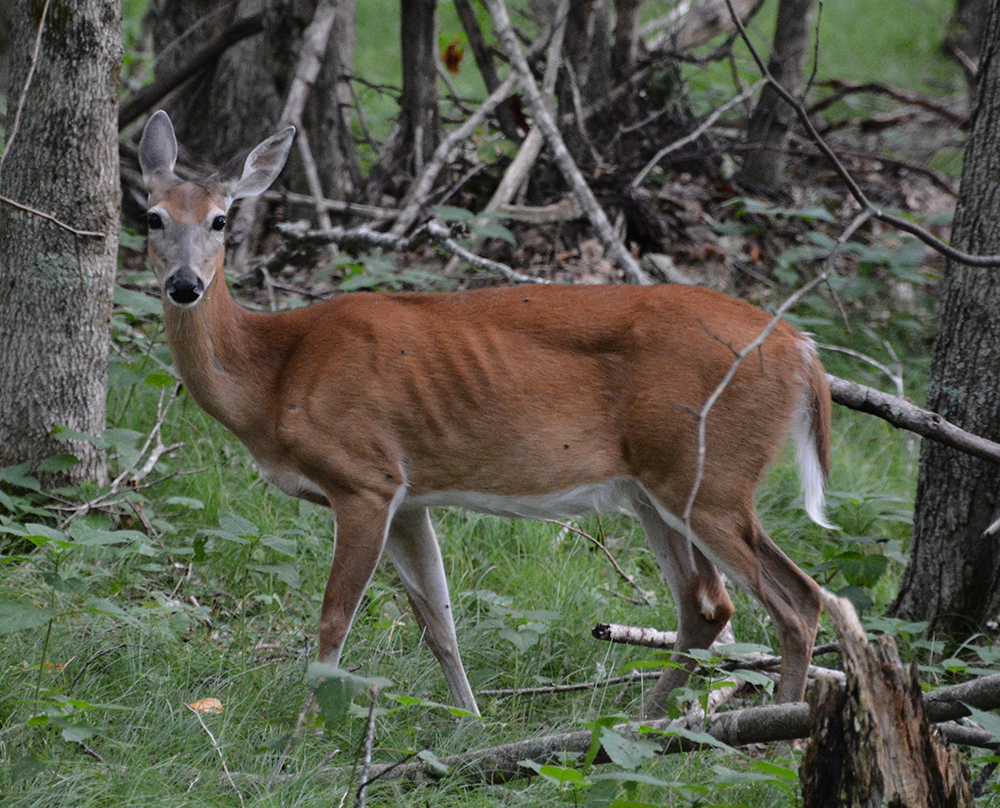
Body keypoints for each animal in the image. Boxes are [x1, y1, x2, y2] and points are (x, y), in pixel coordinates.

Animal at [139, 109, 828, 720]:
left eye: (221, 220)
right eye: (152, 217)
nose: (185, 285)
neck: (274, 375)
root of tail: (800, 347)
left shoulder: (363, 476)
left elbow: (335, 619)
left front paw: (304, 730)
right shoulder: (407, 495)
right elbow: (438, 622)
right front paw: (470, 723)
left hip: (711, 478)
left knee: (797, 599)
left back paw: (775, 729)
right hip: (657, 489)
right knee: (707, 606)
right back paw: (643, 725)